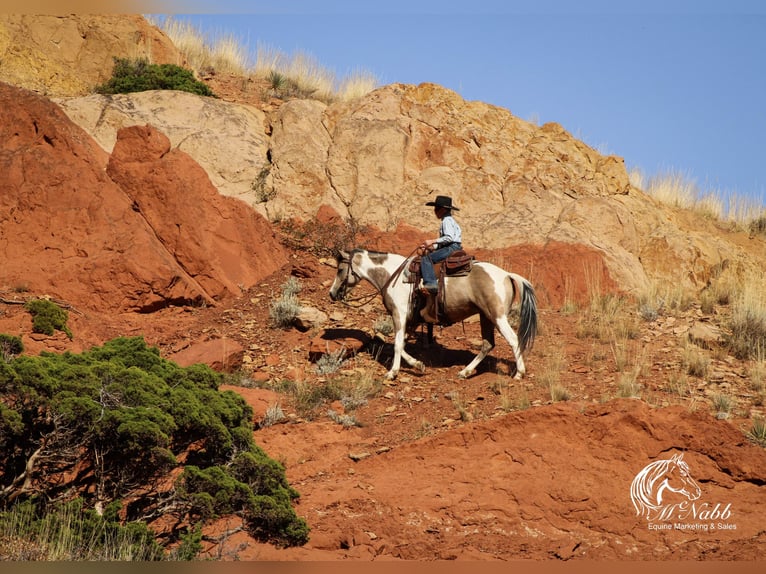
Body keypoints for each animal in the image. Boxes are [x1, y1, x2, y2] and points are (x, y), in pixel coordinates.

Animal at [330, 249, 540, 380]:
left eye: (340, 269)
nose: (332, 294)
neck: (393, 275)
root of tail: (507, 275)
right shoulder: (412, 320)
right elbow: (402, 344)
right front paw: (418, 365)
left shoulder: (399, 315)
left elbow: (397, 345)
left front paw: (393, 372)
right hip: (485, 317)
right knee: (488, 344)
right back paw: (465, 372)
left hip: (497, 317)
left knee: (513, 340)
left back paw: (519, 373)